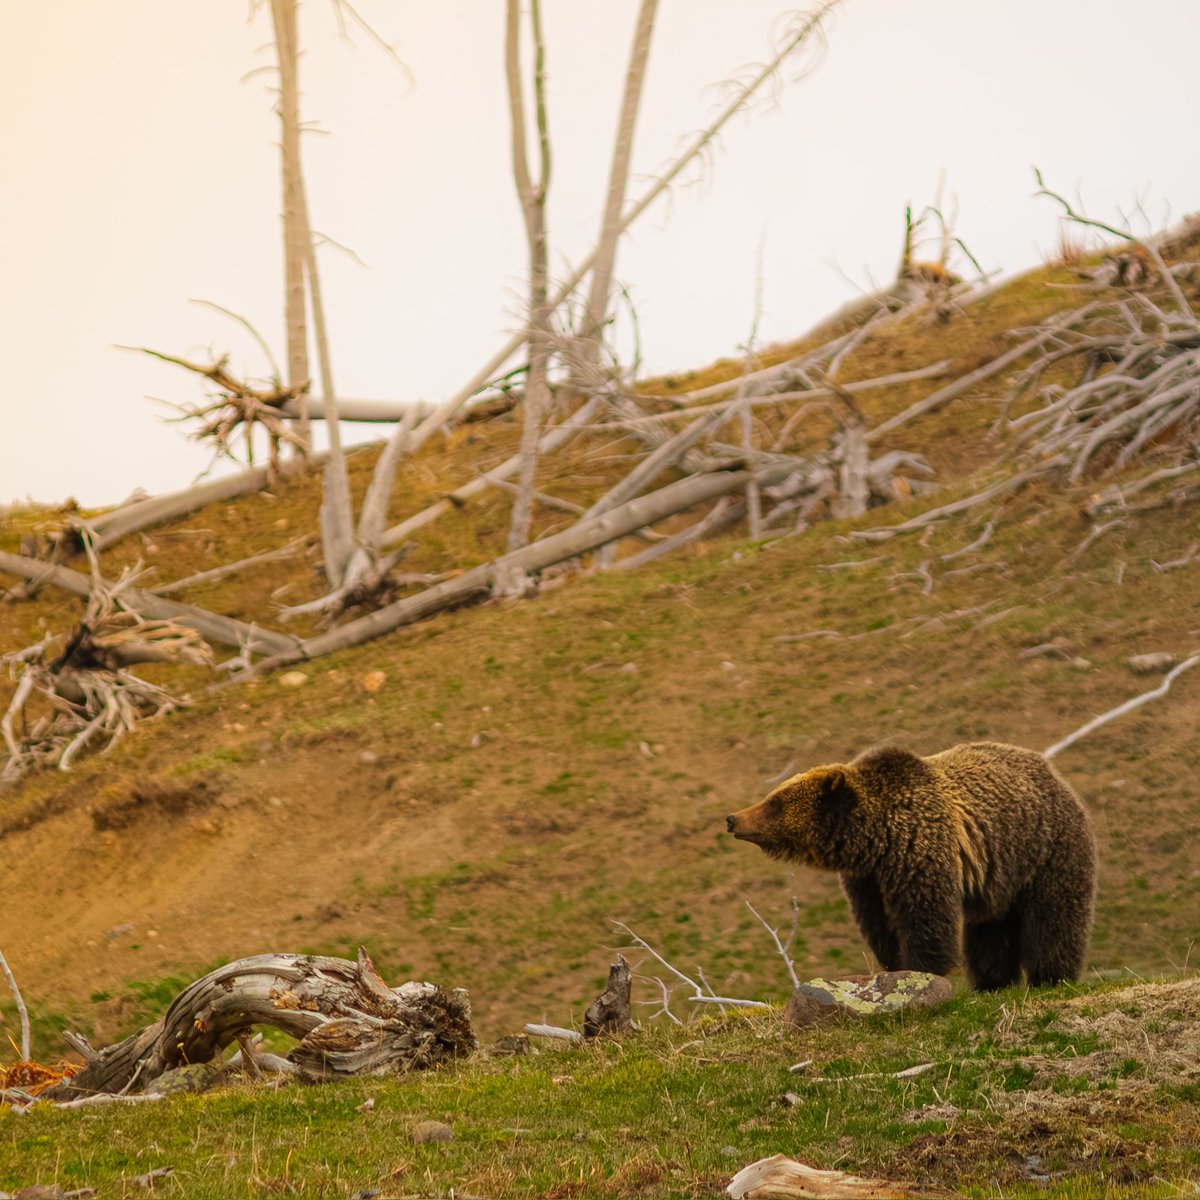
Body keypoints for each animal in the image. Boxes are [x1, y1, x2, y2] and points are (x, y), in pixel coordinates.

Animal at [725, 741, 1096, 990]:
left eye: (775, 802)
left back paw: (1050, 977)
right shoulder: (869, 880)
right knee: (989, 931)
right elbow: (881, 925)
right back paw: (993, 981)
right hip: (998, 879)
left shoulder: (920, 851)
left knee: (1053, 918)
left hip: (1047, 851)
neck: (877, 838)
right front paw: (893, 967)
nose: (733, 818)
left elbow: (925, 919)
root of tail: (1056, 776)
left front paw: (920, 970)